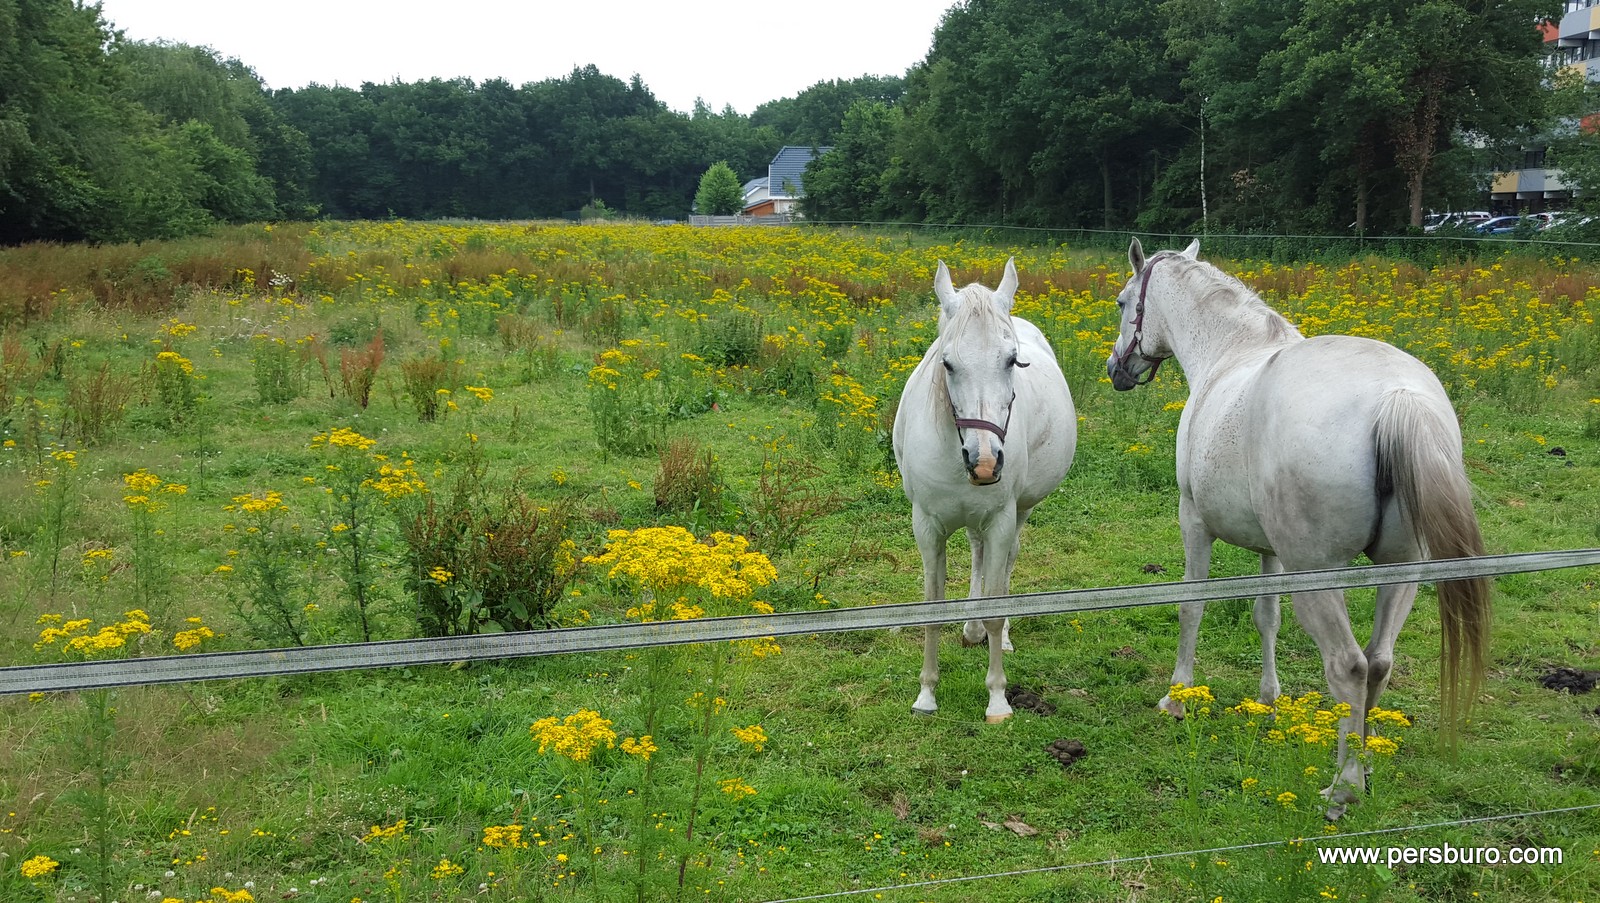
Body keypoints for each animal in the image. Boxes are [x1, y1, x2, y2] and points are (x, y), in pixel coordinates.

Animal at [896, 257, 1081, 723]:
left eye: (1012, 360)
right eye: (947, 363)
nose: (984, 463)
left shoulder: (1001, 519)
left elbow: (998, 604)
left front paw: (998, 699)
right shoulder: (927, 526)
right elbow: (932, 610)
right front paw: (926, 695)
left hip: (1021, 512)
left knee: (1007, 563)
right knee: (978, 555)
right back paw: (971, 627)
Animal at [1113, 236, 1484, 813]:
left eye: (1124, 302)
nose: (1118, 370)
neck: (1229, 353)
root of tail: (1396, 397)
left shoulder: (1193, 520)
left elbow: (1191, 606)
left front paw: (1176, 698)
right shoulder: (1272, 550)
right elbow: (1267, 617)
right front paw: (1269, 699)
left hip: (1320, 577)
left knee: (1350, 667)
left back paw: (1343, 787)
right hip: (1401, 570)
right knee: (1379, 662)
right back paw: (1365, 768)